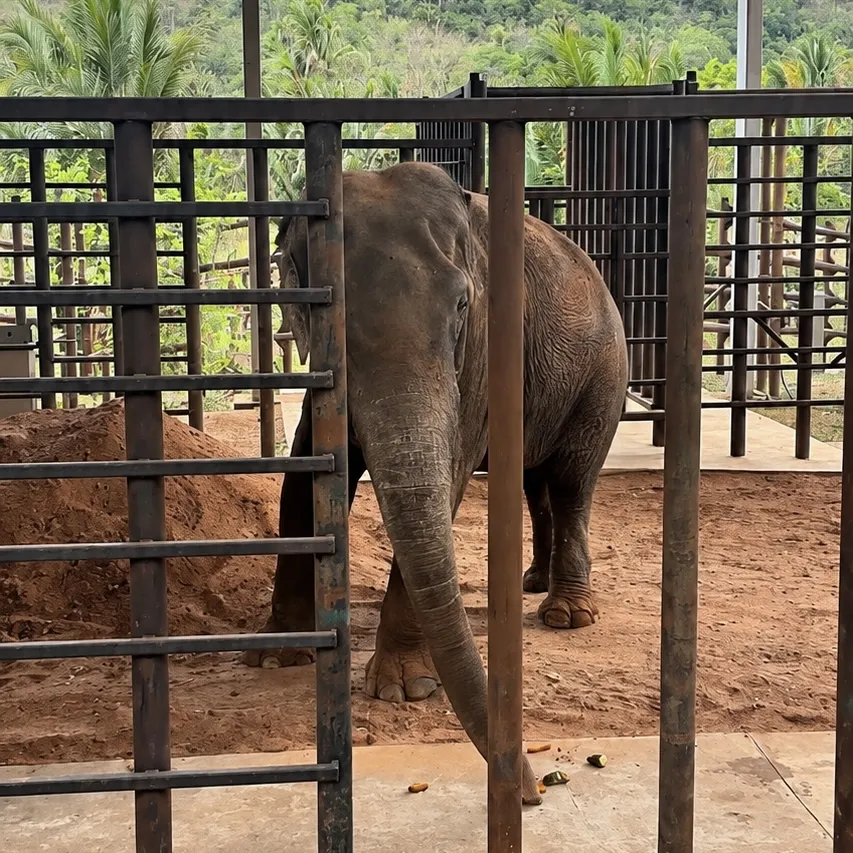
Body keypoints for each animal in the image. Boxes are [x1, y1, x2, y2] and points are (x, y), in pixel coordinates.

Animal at [243, 161, 628, 806]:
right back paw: (531, 582)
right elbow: (303, 475)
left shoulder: (480, 360)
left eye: (462, 306)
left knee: (572, 481)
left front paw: (404, 690)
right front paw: (276, 658)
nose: (535, 793)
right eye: (322, 320)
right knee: (534, 484)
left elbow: (448, 477)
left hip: (601, 379)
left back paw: (566, 615)